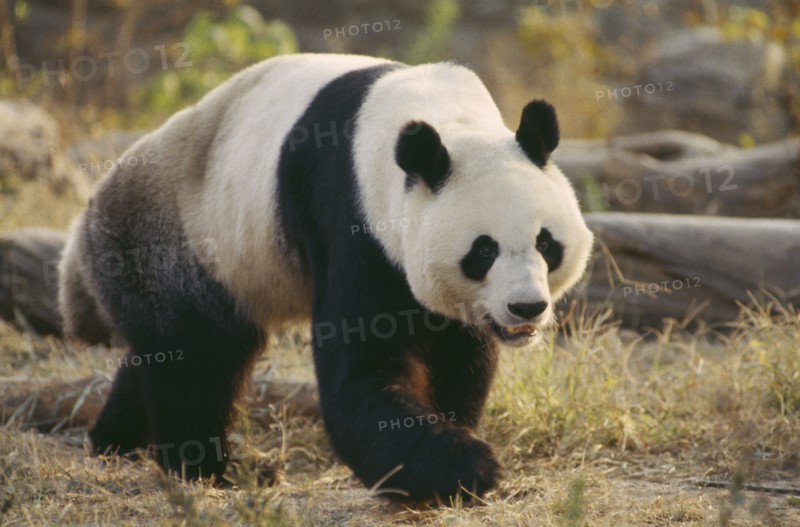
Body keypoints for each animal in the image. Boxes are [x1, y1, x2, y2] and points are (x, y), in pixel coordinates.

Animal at [58, 53, 594, 501]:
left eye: (546, 243)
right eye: (483, 251)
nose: (526, 307)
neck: (445, 118)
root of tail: (84, 225)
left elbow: (458, 353)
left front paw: (457, 432)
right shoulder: (351, 214)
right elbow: (364, 367)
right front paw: (463, 466)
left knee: (163, 355)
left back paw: (114, 440)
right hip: (173, 246)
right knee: (197, 358)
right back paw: (211, 468)